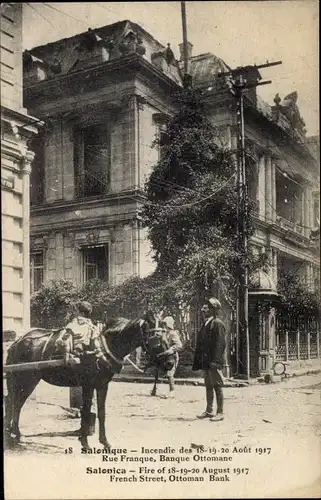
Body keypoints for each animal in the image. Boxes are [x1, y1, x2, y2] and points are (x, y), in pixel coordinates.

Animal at [3, 312, 156, 450]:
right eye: (154, 335)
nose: (162, 360)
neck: (102, 346)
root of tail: (17, 342)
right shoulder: (88, 384)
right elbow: (86, 412)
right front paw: (85, 443)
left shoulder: (102, 385)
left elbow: (101, 413)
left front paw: (104, 442)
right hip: (27, 379)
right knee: (14, 403)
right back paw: (13, 435)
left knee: (13, 402)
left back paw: (14, 434)